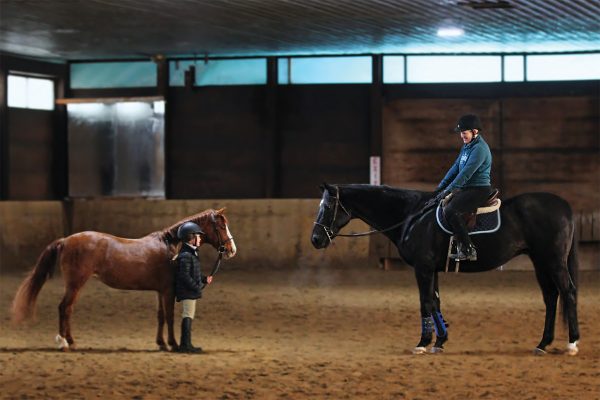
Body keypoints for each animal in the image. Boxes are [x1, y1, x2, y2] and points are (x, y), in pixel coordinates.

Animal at [12, 208, 237, 352]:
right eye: (221, 226)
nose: (232, 250)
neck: (170, 246)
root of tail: (66, 240)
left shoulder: (160, 291)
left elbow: (160, 316)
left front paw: (161, 343)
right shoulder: (168, 291)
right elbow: (170, 316)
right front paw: (173, 344)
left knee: (67, 309)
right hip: (76, 283)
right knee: (64, 308)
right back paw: (66, 343)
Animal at [312, 183, 580, 354]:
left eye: (327, 207)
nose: (315, 239)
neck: (412, 216)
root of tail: (564, 206)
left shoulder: (422, 268)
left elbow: (425, 303)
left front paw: (423, 343)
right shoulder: (432, 269)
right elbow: (435, 302)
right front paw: (440, 341)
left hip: (553, 261)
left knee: (568, 293)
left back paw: (572, 344)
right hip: (540, 262)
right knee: (551, 297)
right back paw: (543, 344)